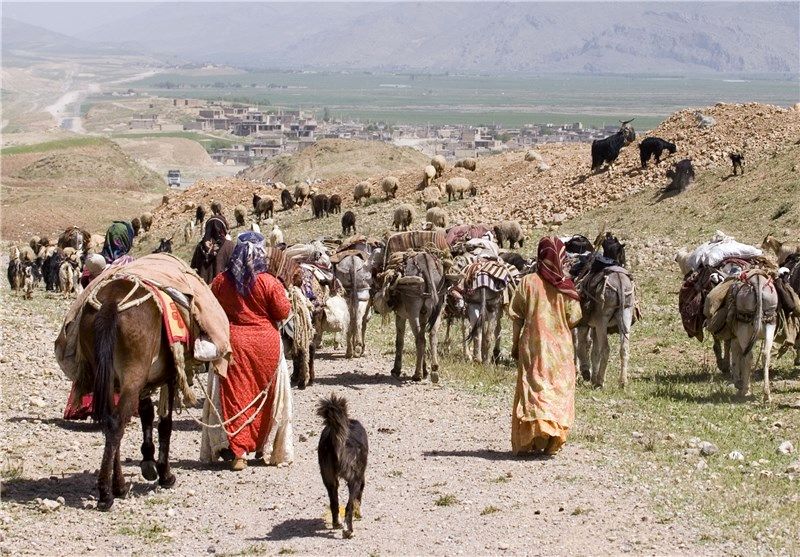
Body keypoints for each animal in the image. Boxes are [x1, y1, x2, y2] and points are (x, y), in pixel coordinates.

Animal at [77, 280, 177, 510]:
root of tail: (111, 302)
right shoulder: (171, 376)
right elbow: (165, 424)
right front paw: (164, 474)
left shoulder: (143, 385)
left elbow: (147, 414)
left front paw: (148, 460)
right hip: (133, 375)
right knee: (116, 424)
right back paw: (107, 494)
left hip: (107, 376)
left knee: (111, 423)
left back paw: (118, 486)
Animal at [318, 390, 368, 540]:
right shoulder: (360, 478)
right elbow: (357, 500)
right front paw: (359, 513)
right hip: (354, 479)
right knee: (348, 506)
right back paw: (348, 531)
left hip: (329, 478)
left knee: (334, 503)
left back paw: (337, 524)